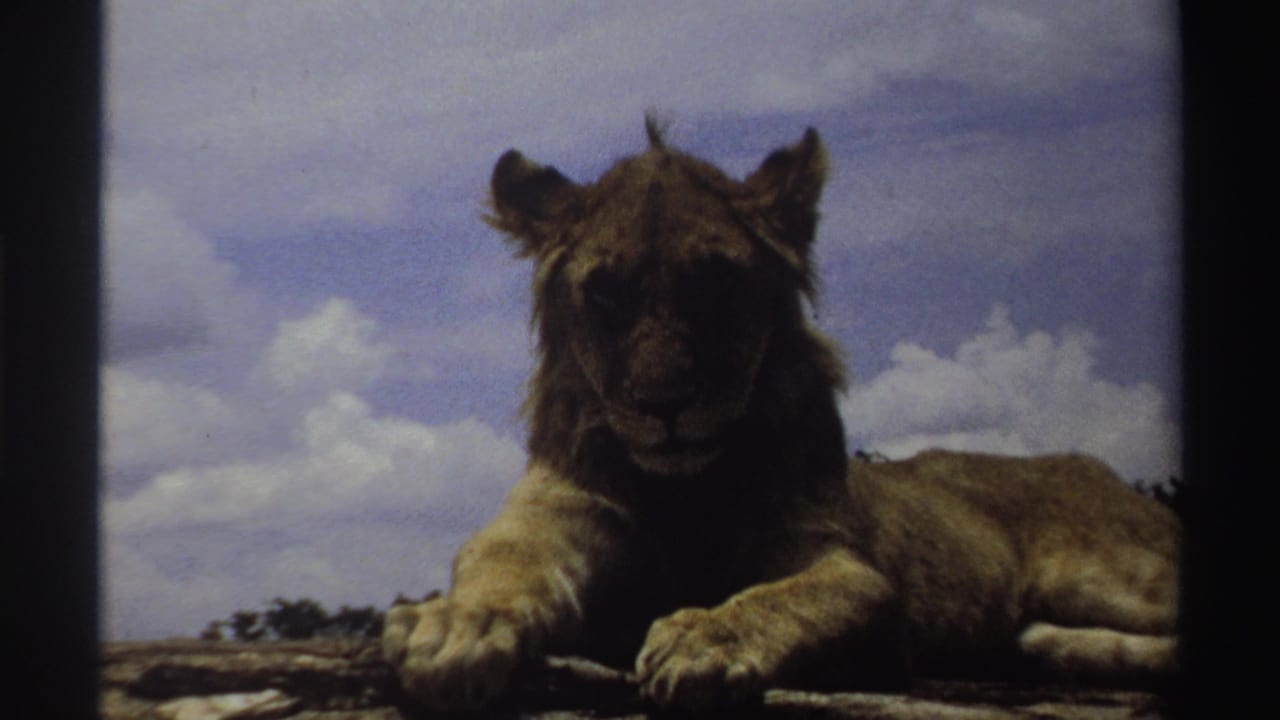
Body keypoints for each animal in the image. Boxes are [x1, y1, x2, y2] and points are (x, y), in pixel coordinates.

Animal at [382, 119, 1181, 713]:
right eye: (606, 292)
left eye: (717, 282)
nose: (665, 404)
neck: (682, 489)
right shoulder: (551, 517)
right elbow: (499, 563)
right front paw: (449, 624)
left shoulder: (846, 565)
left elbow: (801, 596)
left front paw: (708, 638)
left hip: (1112, 573)